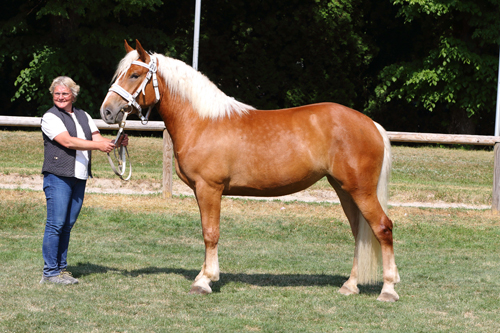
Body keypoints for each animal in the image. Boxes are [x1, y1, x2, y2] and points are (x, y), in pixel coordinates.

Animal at [99, 39, 400, 300]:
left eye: (135, 75)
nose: (107, 112)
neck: (202, 121)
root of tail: (371, 124)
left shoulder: (210, 189)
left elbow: (210, 233)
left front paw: (205, 280)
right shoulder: (201, 191)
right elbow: (206, 230)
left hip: (360, 190)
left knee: (382, 228)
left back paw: (388, 289)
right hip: (344, 190)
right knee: (360, 234)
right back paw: (350, 285)